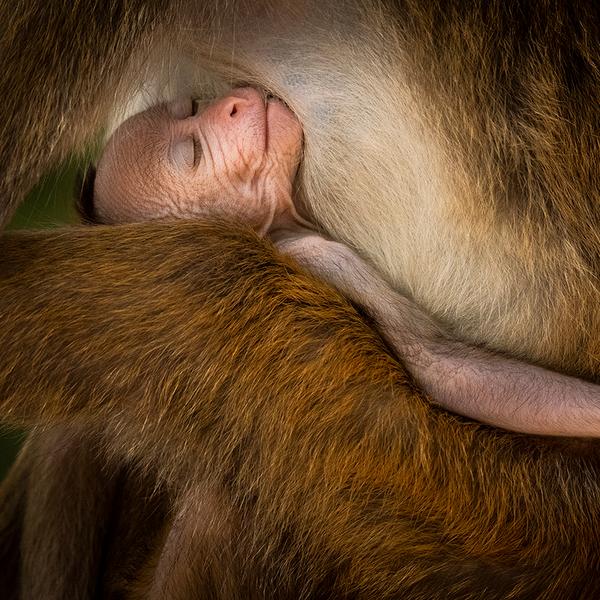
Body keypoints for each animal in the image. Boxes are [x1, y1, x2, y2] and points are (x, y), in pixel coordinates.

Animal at [85, 86, 600, 438]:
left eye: (191, 109)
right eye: (192, 154)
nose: (228, 103)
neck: (281, 226)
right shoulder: (323, 256)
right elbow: (435, 366)